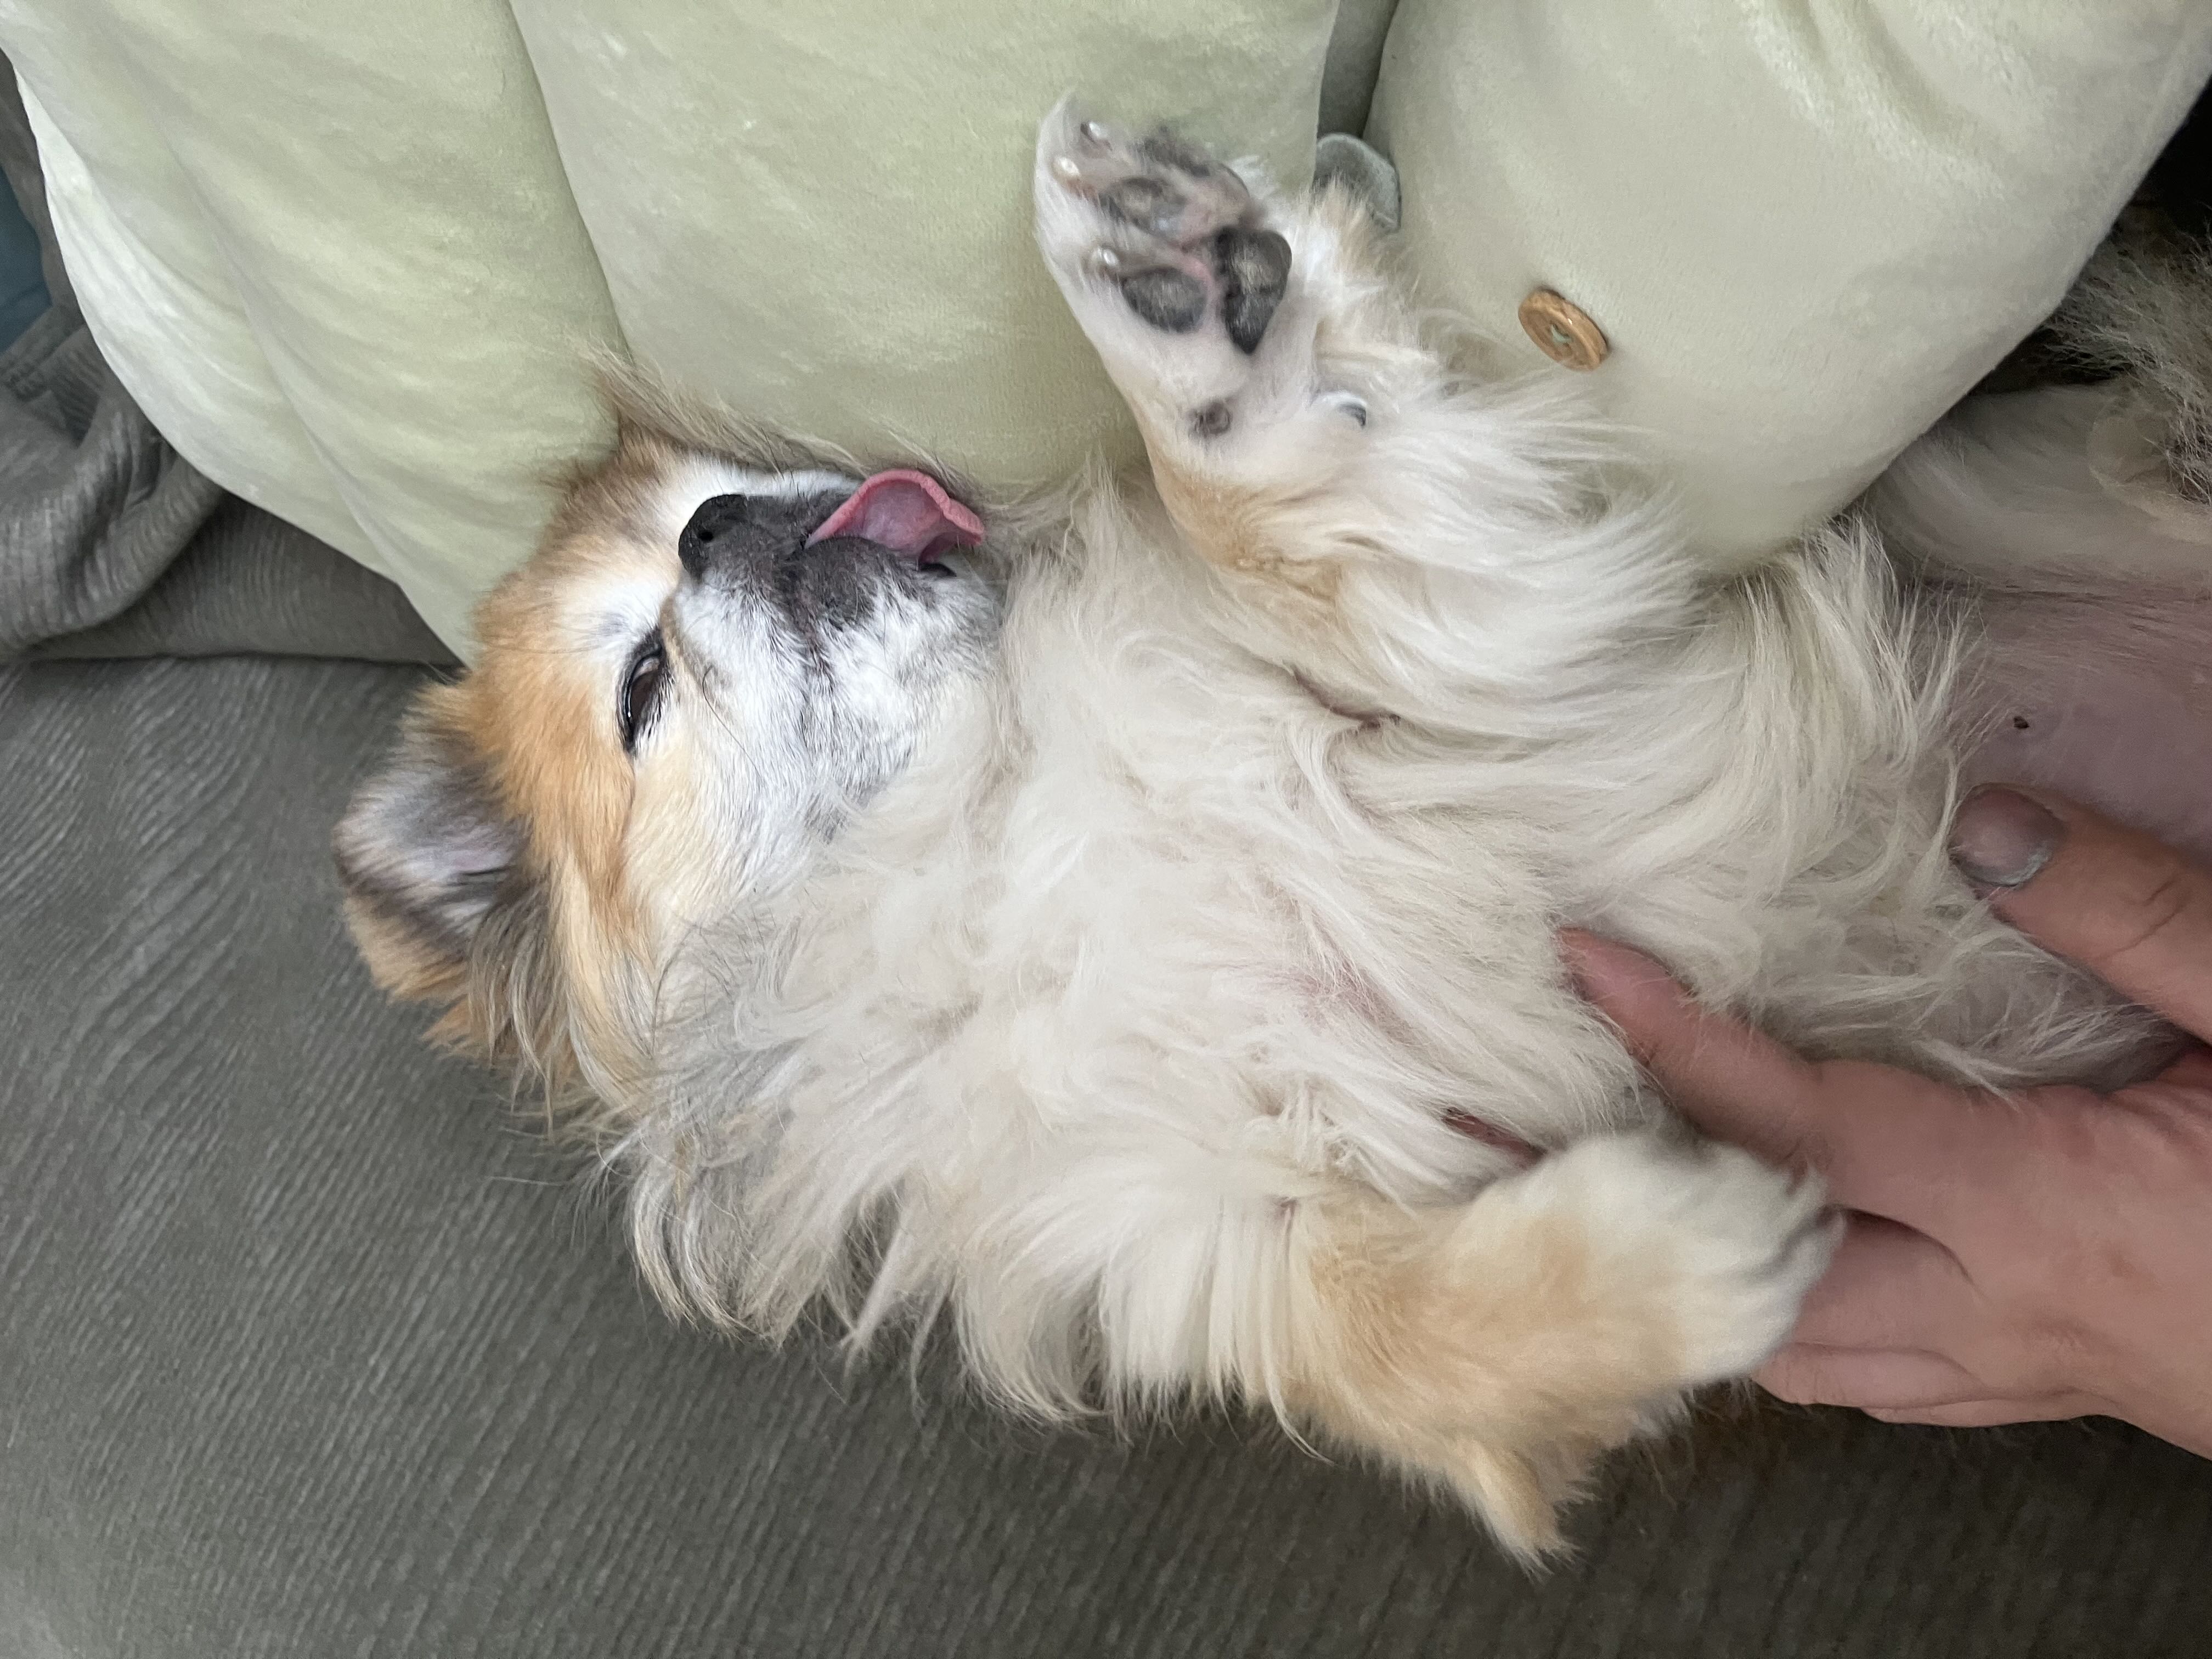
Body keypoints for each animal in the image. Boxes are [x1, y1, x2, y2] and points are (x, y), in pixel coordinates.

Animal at [335, 106, 2180, 1556]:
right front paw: (1689, 1256)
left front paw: (1189, 315)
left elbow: (1269, 510)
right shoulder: (1196, 1233)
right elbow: (1392, 1335)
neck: (1006, 823)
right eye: (643, 684)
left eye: (731, 489)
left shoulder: (1436, 658)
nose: (726, 519)